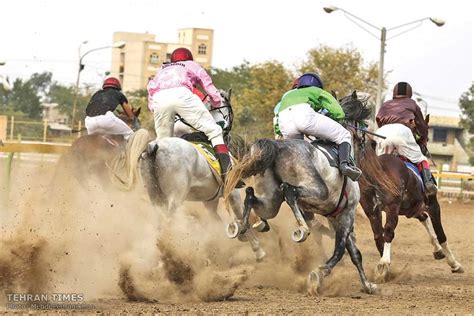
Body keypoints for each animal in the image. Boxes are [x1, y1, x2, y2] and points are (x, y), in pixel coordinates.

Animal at [138, 90, 266, 262]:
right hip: (175, 197)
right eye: (228, 109)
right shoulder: (233, 192)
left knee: (159, 224)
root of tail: (153, 147)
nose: (228, 133)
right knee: (168, 223)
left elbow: (217, 222)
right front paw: (258, 250)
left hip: (156, 197)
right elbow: (241, 216)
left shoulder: (209, 201)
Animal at [224, 90, 384, 294]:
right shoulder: (347, 213)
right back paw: (302, 229)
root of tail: (278, 147)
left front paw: (368, 285)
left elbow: (355, 254)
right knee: (290, 192)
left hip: (271, 202)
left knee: (252, 195)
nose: (367, 145)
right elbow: (340, 250)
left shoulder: (337, 216)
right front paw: (319, 274)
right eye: (365, 133)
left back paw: (243, 226)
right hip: (319, 192)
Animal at [360, 119, 462, 280]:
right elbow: (441, 234)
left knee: (378, 235)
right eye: (425, 131)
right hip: (391, 207)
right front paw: (454, 263)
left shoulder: (413, 209)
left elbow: (424, 219)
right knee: (388, 231)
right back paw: (384, 263)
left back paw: (385, 267)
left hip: (371, 210)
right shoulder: (433, 206)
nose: (425, 147)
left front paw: (438, 251)